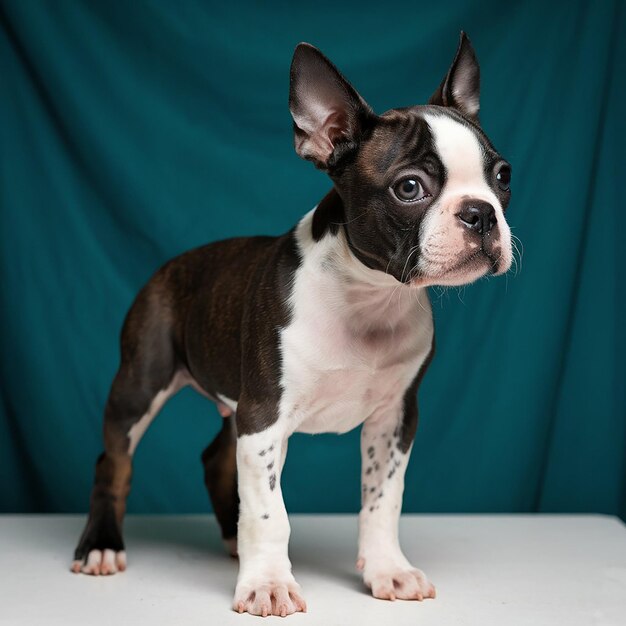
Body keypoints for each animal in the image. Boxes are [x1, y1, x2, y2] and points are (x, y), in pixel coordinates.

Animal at [70, 33, 510, 616]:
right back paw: (102, 545)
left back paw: (231, 541)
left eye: (502, 177)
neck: (370, 296)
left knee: (215, 458)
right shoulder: (263, 419)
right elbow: (269, 513)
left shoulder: (394, 417)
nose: (481, 212)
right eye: (410, 188)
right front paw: (268, 583)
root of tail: (172, 264)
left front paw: (388, 571)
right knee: (114, 462)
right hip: (140, 384)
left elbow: (382, 501)